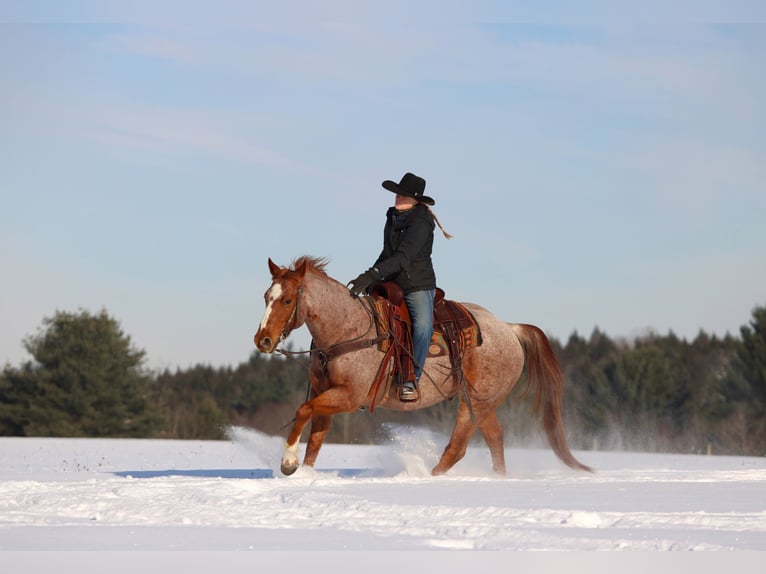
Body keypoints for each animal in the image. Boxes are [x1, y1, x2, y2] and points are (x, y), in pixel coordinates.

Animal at [253, 256, 592, 476]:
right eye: (266, 296)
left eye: (287, 300)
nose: (263, 340)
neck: (347, 329)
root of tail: (510, 328)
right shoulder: (326, 392)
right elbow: (316, 438)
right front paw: (305, 473)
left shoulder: (348, 396)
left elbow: (302, 411)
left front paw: (287, 463)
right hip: (482, 402)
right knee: (495, 436)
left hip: (474, 402)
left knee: (458, 447)